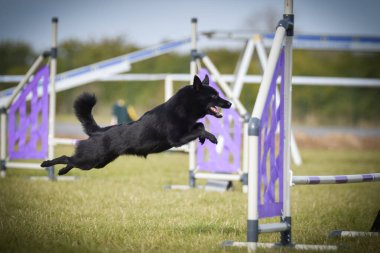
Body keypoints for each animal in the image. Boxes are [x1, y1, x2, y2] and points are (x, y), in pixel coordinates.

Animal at [40, 74, 232, 175]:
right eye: (213, 96)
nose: (230, 103)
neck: (184, 107)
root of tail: (97, 131)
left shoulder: (187, 131)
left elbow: (200, 126)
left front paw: (204, 138)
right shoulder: (177, 140)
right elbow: (200, 129)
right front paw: (212, 138)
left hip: (97, 163)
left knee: (71, 160)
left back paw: (62, 171)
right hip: (90, 159)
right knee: (66, 157)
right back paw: (47, 164)